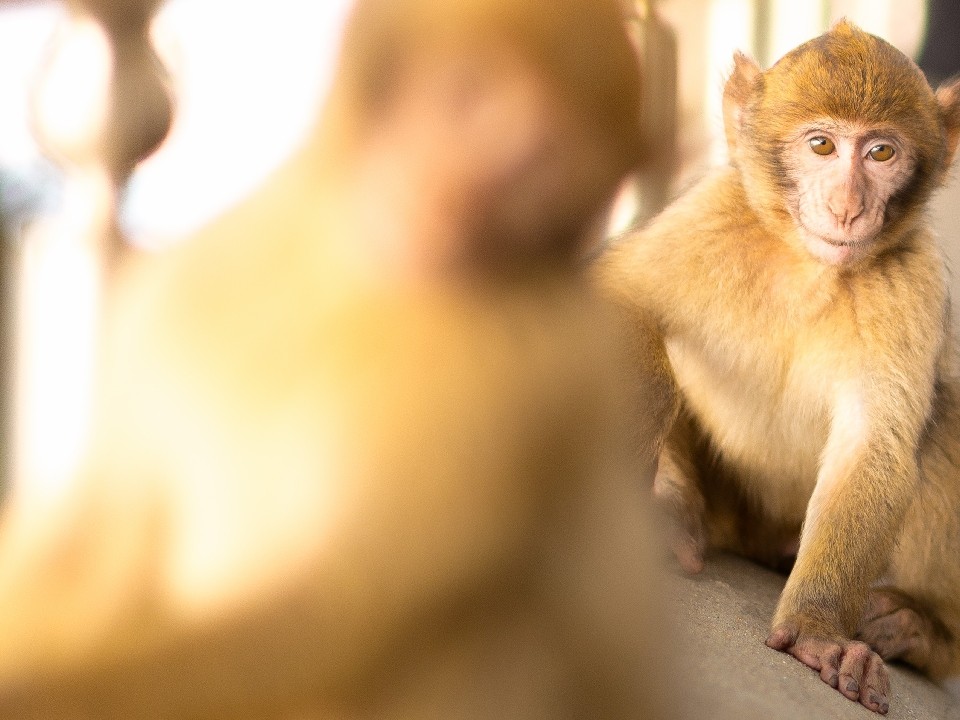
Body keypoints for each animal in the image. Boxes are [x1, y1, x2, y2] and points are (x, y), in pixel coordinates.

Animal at [0, 0, 676, 716]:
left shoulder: (514, 377)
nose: (455, 194)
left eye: (540, 163)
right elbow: (102, 542)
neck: (346, 278)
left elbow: (332, 616)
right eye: (466, 96)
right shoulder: (187, 289)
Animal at [596, 19, 960, 716]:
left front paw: (819, 631)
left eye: (881, 154)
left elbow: (874, 445)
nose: (847, 207)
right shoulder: (714, 215)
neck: (808, 263)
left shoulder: (913, 276)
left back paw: (922, 629)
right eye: (821, 145)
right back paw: (673, 515)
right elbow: (620, 298)